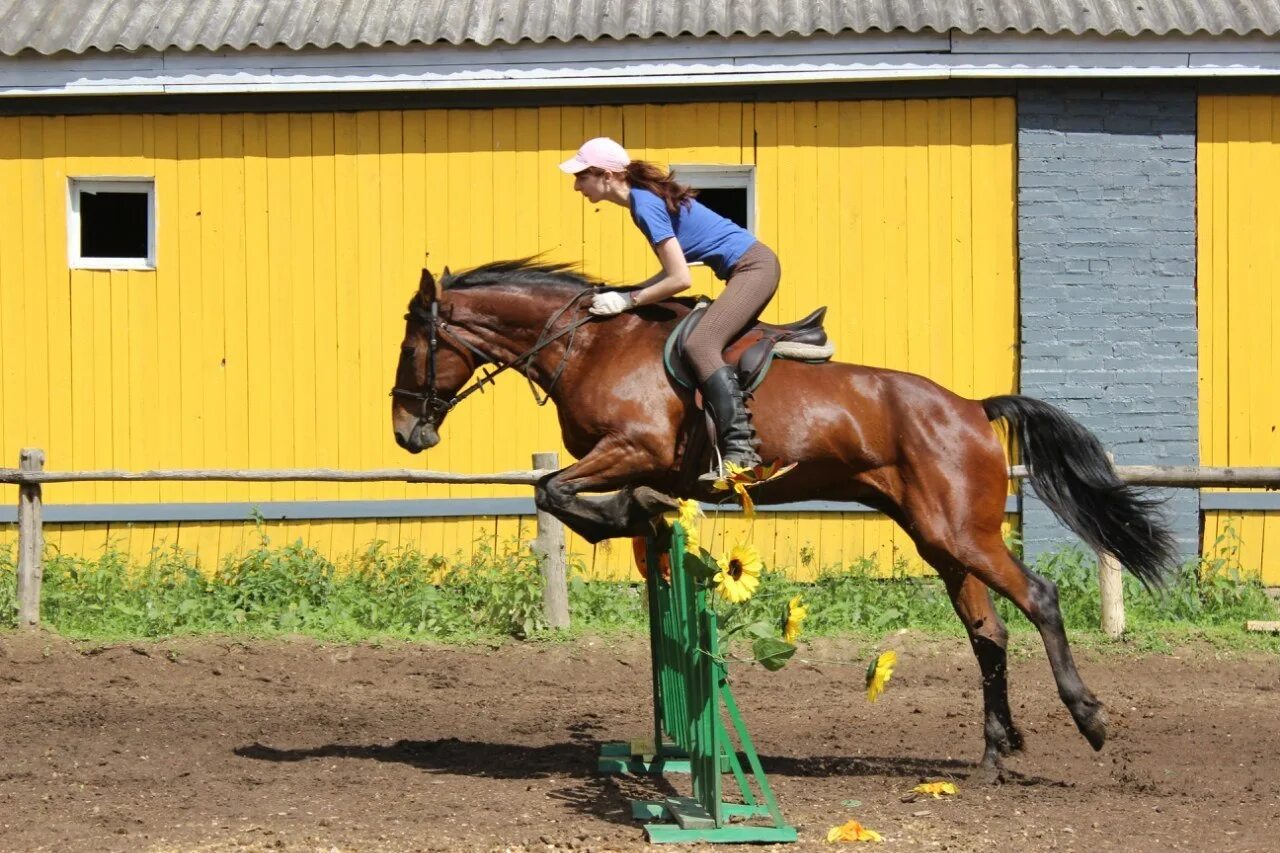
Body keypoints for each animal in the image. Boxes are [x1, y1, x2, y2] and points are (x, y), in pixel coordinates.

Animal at [391, 256, 1177, 773]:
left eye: (414, 343)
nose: (405, 431)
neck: (590, 345)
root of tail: (973, 408)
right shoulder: (629, 457)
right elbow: (560, 493)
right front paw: (640, 514)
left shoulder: (632, 448)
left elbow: (554, 491)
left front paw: (625, 513)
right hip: (938, 537)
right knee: (987, 631)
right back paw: (995, 751)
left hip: (963, 533)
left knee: (1038, 598)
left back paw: (1088, 718)